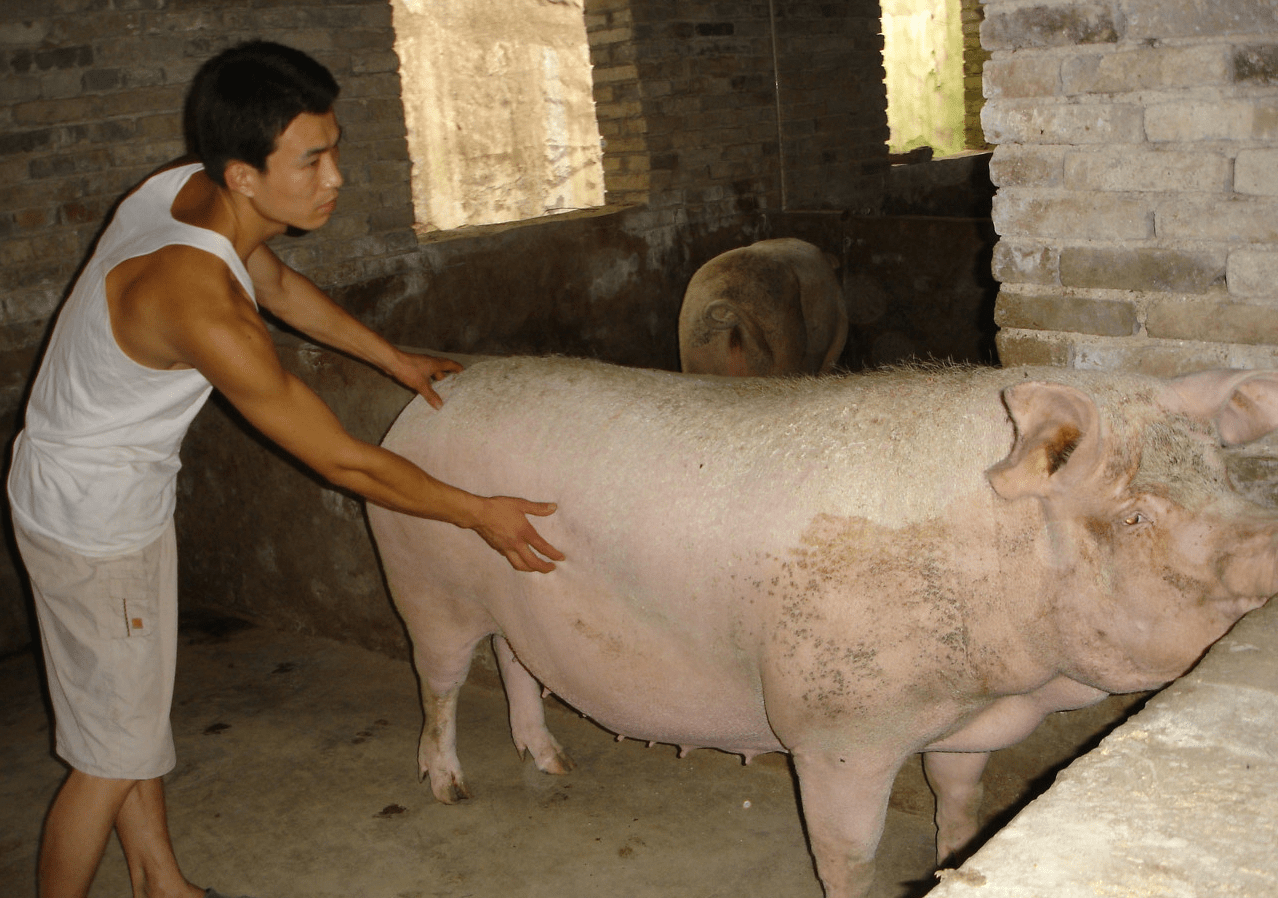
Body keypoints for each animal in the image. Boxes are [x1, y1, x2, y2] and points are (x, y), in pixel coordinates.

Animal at [368, 357, 1278, 898]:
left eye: (1225, 475)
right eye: (1134, 514)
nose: (1267, 544)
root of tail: (426, 402)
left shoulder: (967, 727)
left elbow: (961, 806)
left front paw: (955, 861)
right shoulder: (834, 731)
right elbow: (848, 854)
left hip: (511, 597)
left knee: (516, 662)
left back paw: (552, 763)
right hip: (424, 581)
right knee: (441, 681)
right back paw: (448, 787)